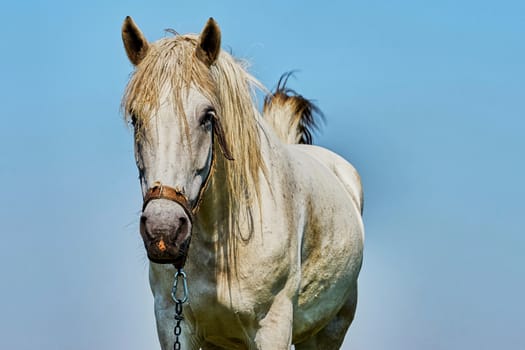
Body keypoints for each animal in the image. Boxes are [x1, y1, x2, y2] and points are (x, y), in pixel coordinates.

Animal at [120, 15, 362, 348]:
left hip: (328, 331)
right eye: (136, 118)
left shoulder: (273, 327)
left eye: (207, 117)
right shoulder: (172, 323)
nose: (163, 230)